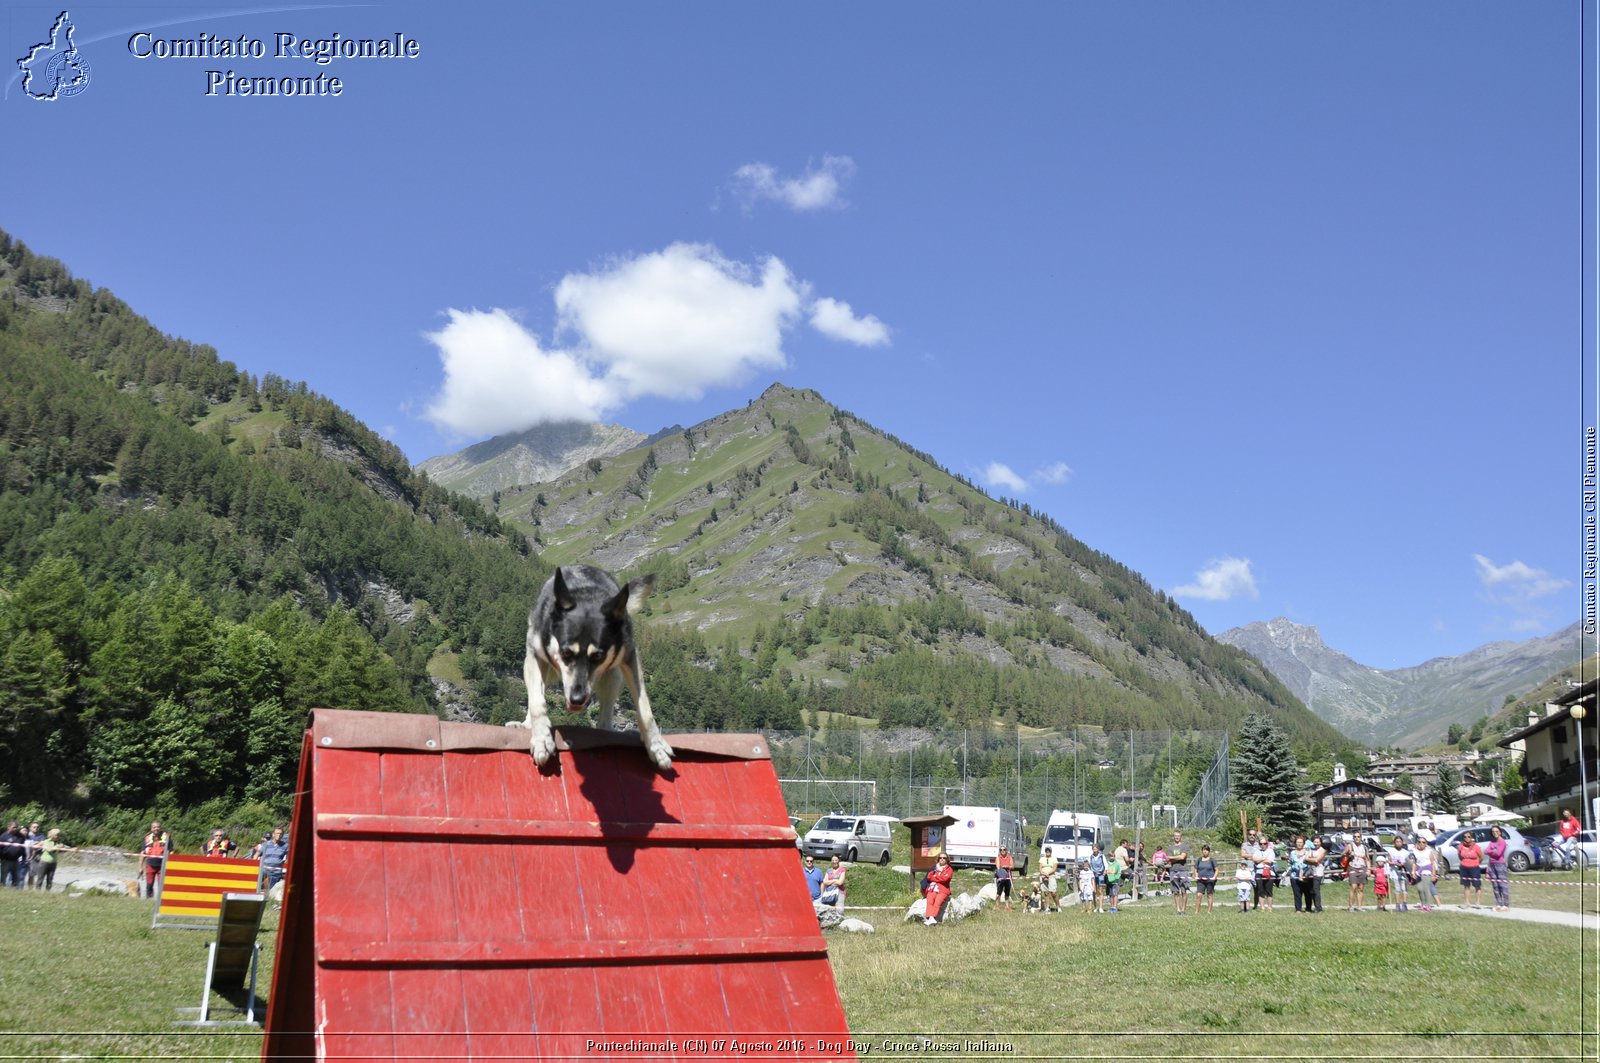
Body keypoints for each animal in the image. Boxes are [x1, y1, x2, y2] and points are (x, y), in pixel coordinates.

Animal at [505, 563, 668, 771]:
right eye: (566, 653)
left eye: (598, 656)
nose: (576, 699)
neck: (586, 597)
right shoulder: (535, 654)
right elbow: (536, 702)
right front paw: (541, 738)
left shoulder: (630, 657)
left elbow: (645, 709)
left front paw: (656, 745)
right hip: (541, 669)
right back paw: (526, 725)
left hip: (613, 677)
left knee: (606, 714)